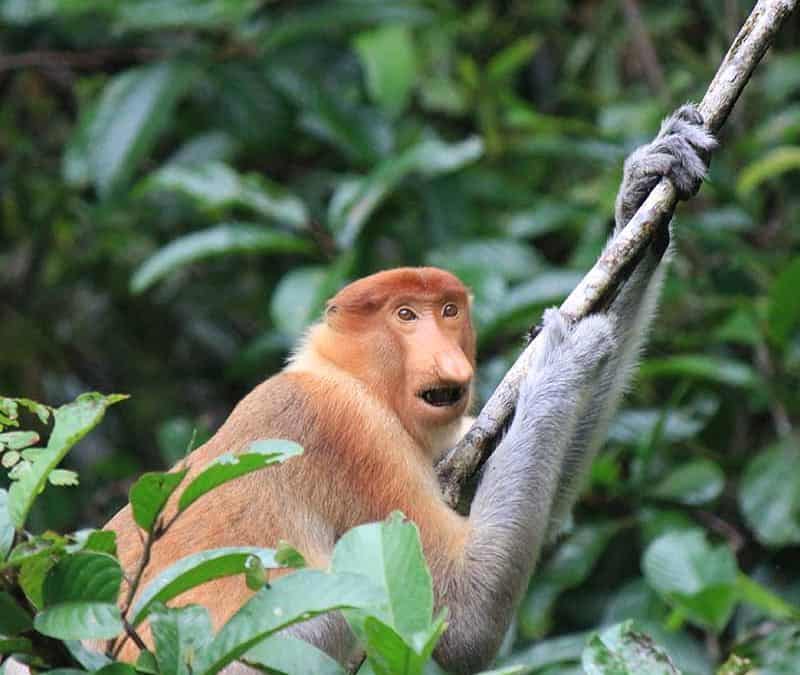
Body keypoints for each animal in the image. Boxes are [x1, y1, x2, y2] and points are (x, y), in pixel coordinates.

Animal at [102, 104, 715, 673]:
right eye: (404, 315)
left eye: (447, 310)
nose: (447, 358)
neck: (346, 374)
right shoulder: (348, 432)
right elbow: (465, 612)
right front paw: (561, 354)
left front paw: (644, 190)